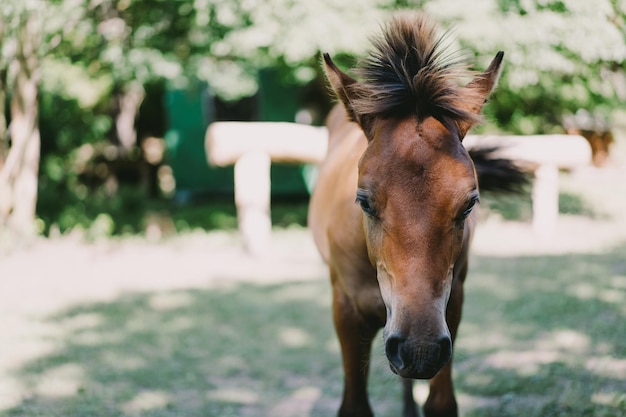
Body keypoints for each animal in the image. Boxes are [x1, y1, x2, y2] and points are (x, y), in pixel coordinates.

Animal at [308, 12, 528, 416]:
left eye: (469, 203)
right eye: (364, 201)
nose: (419, 350)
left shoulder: (451, 305)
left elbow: (440, 402)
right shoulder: (346, 313)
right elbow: (355, 405)